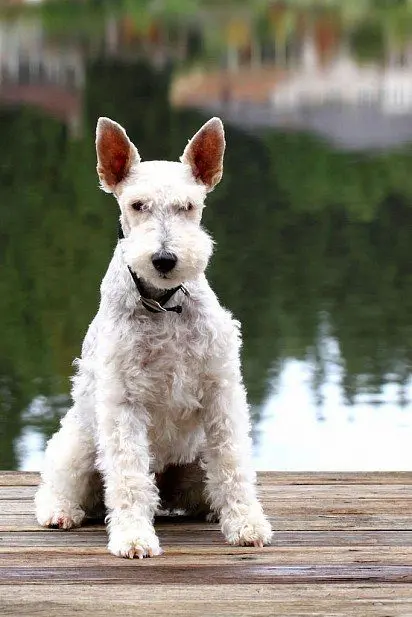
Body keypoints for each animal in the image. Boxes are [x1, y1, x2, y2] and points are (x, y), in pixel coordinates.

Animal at [34, 116, 274, 560]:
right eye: (136, 205)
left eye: (189, 206)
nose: (164, 259)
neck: (163, 306)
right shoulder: (123, 400)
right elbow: (128, 476)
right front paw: (133, 538)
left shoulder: (221, 388)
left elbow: (233, 463)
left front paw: (247, 525)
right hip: (77, 442)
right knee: (64, 485)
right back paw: (61, 512)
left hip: (195, 462)